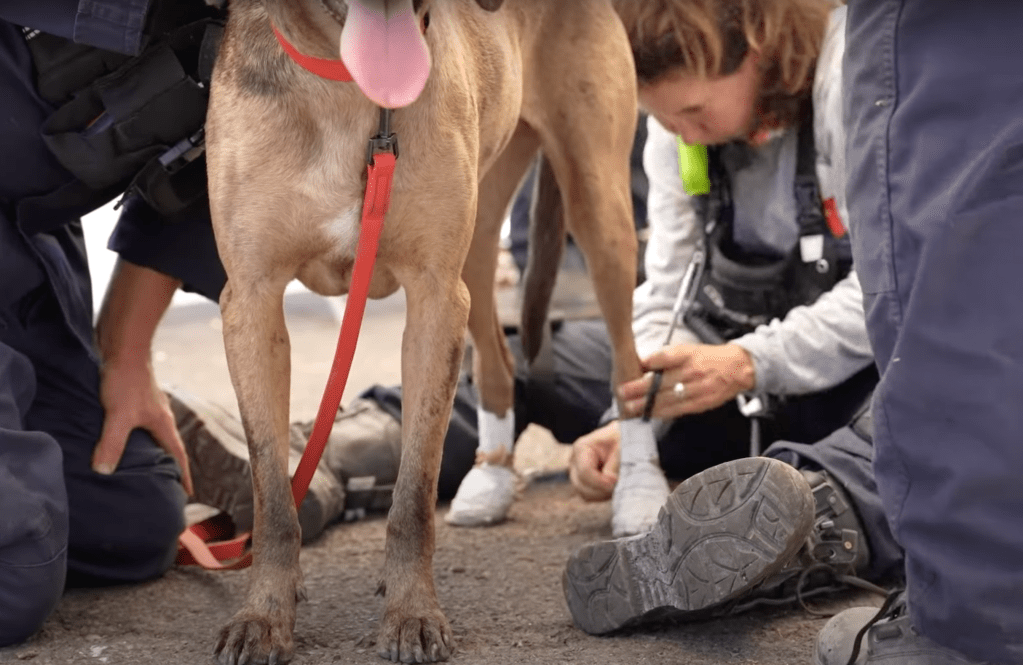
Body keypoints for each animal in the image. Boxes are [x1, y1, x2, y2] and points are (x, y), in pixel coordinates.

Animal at [204, 0, 642, 658]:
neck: (346, 84)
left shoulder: (434, 297)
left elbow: (413, 492)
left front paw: (411, 613)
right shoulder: (252, 302)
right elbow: (272, 492)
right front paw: (265, 614)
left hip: (598, 214)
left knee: (630, 370)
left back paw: (644, 495)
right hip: (481, 248)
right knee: (499, 365)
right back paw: (491, 475)